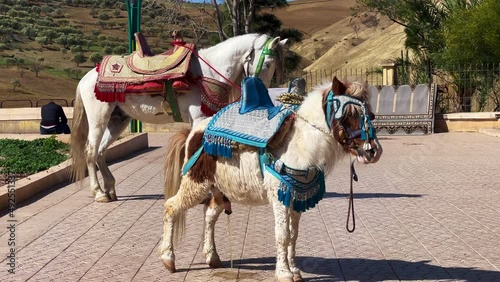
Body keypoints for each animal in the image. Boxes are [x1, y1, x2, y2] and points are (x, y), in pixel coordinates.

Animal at [72, 33, 288, 203]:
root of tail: (85, 78)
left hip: (118, 120)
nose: (264, 94)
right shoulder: (198, 118)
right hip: (99, 118)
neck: (207, 72)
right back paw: (99, 193)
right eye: (267, 63)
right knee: (90, 151)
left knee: (101, 152)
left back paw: (110, 189)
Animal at [160, 76, 382, 282]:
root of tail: (194, 130)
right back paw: (168, 259)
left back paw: (212, 257)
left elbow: (293, 235)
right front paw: (284, 273)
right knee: (171, 207)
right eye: (350, 114)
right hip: (195, 184)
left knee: (209, 215)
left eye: (370, 115)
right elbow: (283, 235)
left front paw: (295, 270)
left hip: (219, 188)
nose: (373, 151)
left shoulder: (296, 198)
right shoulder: (279, 196)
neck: (299, 144)